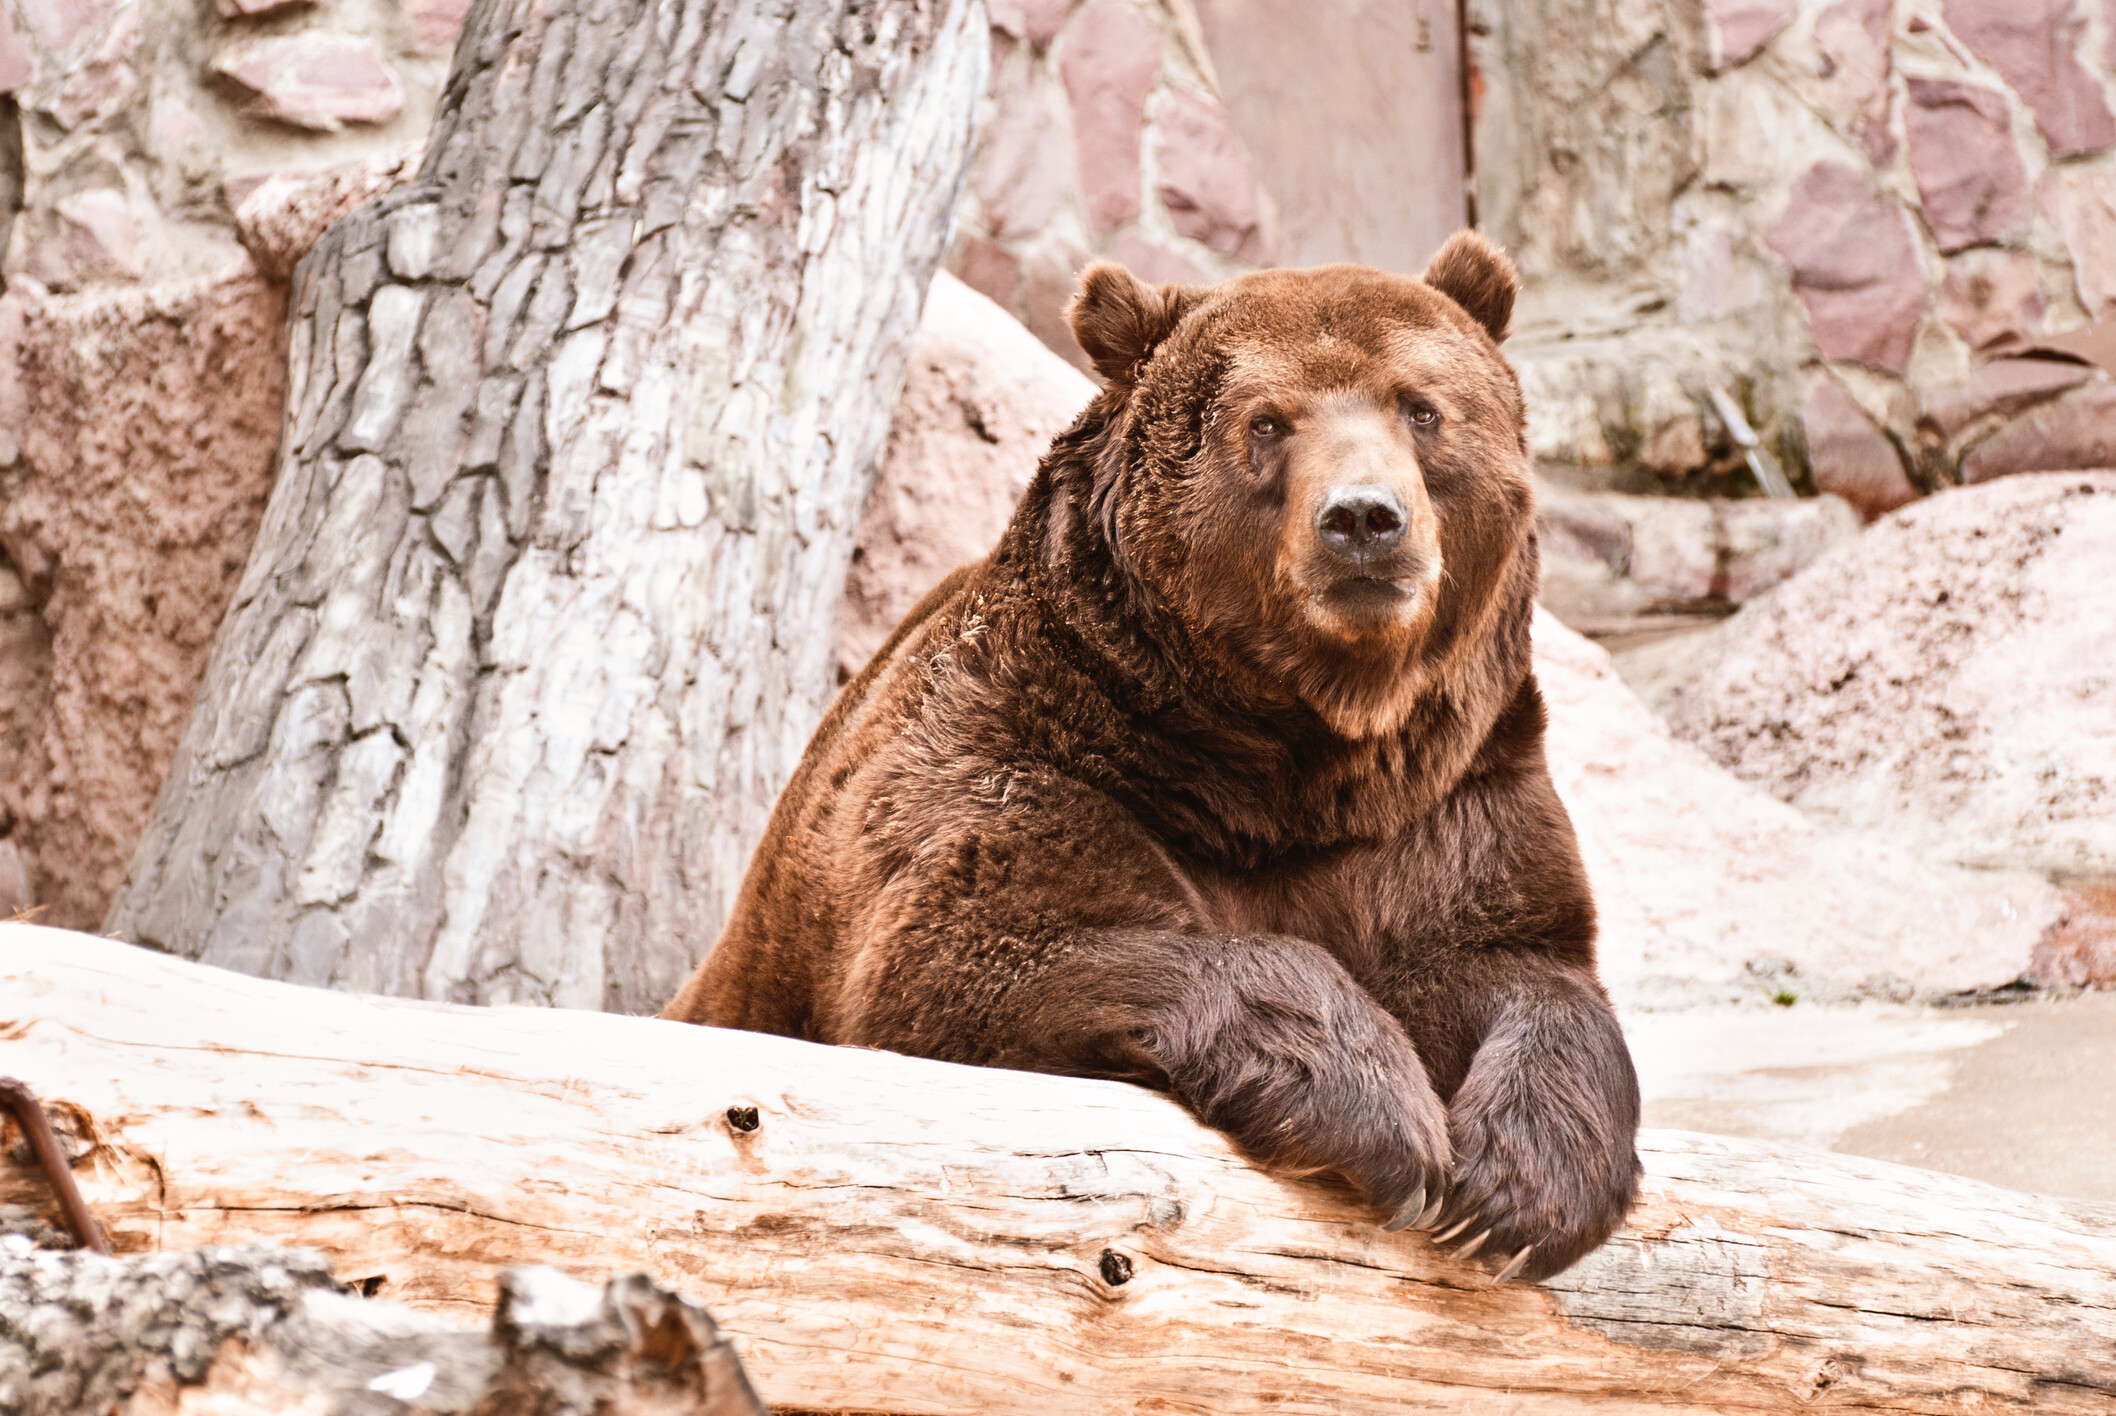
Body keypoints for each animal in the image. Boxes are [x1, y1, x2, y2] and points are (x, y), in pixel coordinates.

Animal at [668, 231, 1642, 1278]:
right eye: (1267, 423)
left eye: (1422, 407)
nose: (1364, 519)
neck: (1292, 762)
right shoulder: (1029, 748)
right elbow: (981, 949)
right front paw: (1379, 1113)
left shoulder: (1446, 797)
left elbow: (1522, 963)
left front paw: (1520, 1188)